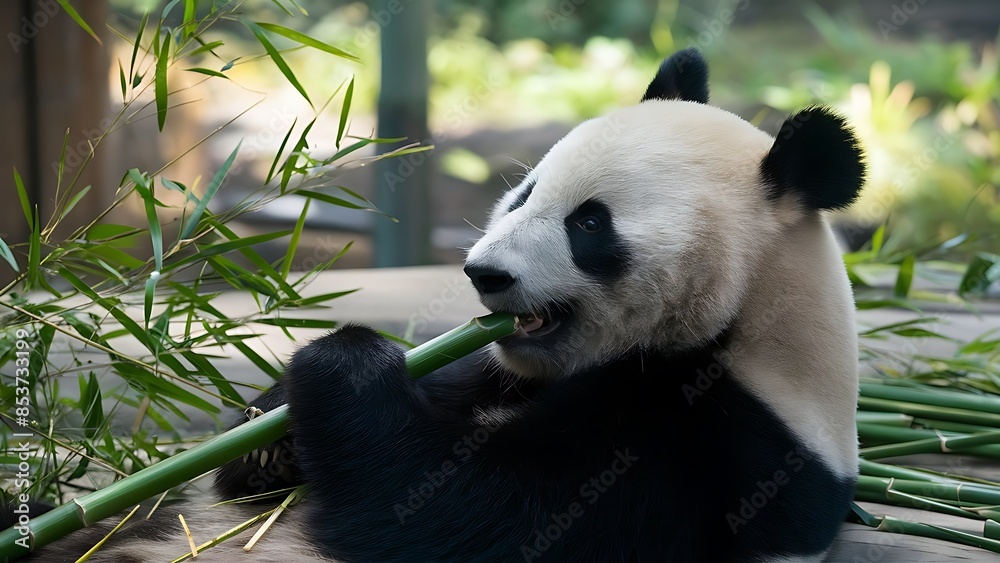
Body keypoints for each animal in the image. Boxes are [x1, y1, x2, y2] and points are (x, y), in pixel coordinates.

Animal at [16, 48, 865, 562]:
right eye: (523, 193)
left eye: (590, 223)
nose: (483, 274)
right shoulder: (492, 369)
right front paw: (265, 434)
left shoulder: (711, 451)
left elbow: (456, 514)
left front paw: (342, 362)